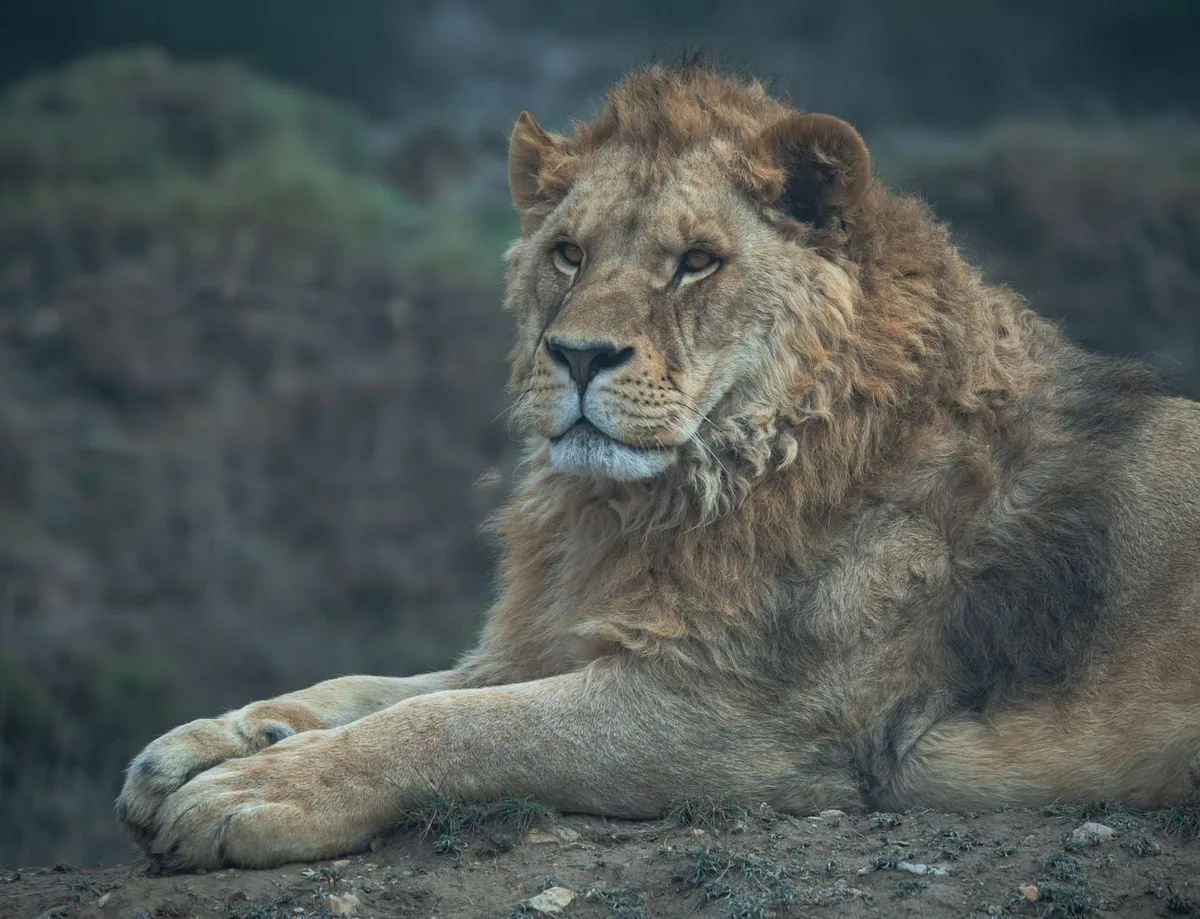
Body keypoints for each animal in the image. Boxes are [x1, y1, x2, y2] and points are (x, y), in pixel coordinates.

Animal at [116, 61, 1200, 871]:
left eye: (696, 262)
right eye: (567, 253)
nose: (577, 355)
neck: (645, 504)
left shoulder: (734, 719)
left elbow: (455, 723)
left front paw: (255, 790)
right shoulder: (554, 634)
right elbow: (385, 685)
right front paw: (208, 742)